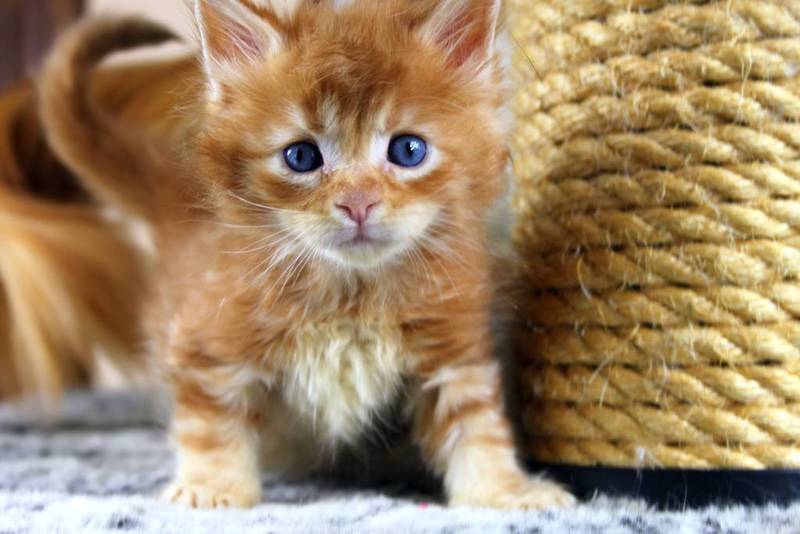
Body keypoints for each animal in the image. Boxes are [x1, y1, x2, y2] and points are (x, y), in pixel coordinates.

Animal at [39, 0, 575, 510]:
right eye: (301, 156)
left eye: (407, 150)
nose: (358, 203)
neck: (350, 295)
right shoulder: (210, 340)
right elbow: (212, 425)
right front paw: (212, 488)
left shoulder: (454, 344)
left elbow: (478, 425)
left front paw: (505, 492)